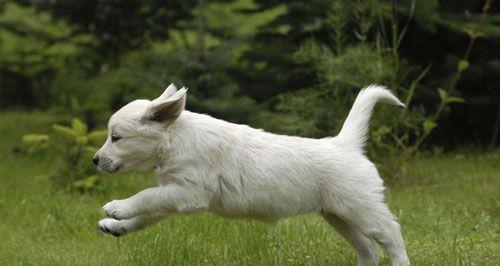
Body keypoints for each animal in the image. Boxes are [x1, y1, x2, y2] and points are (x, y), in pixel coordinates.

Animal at [94, 84, 410, 264]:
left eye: (116, 138)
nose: (95, 160)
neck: (176, 138)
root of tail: (345, 143)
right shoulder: (174, 193)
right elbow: (147, 212)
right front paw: (116, 225)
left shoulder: (189, 192)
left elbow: (145, 196)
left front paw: (117, 206)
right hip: (338, 215)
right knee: (368, 249)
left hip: (362, 208)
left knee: (391, 235)